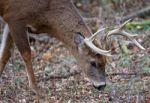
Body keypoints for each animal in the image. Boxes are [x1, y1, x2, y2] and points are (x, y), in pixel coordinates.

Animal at [0, 0, 145, 95]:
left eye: (106, 61)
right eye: (93, 62)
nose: (102, 86)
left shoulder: (10, 20)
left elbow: (5, 54)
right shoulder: (15, 18)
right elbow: (26, 53)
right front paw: (36, 89)